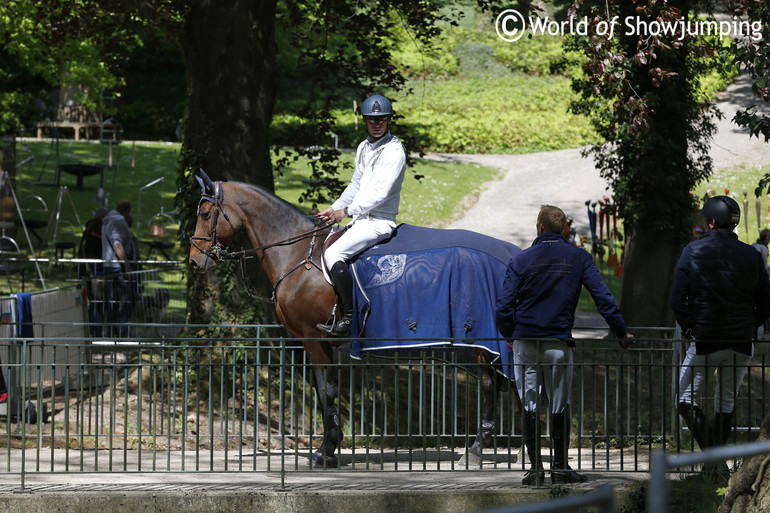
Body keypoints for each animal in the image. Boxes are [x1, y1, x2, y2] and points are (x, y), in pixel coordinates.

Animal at [185, 170, 510, 466]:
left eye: (205, 213)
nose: (194, 261)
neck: (298, 254)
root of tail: (507, 255)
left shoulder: (313, 338)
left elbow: (326, 390)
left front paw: (326, 452)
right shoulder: (317, 343)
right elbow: (321, 392)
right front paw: (329, 445)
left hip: (483, 340)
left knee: (489, 384)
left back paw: (476, 449)